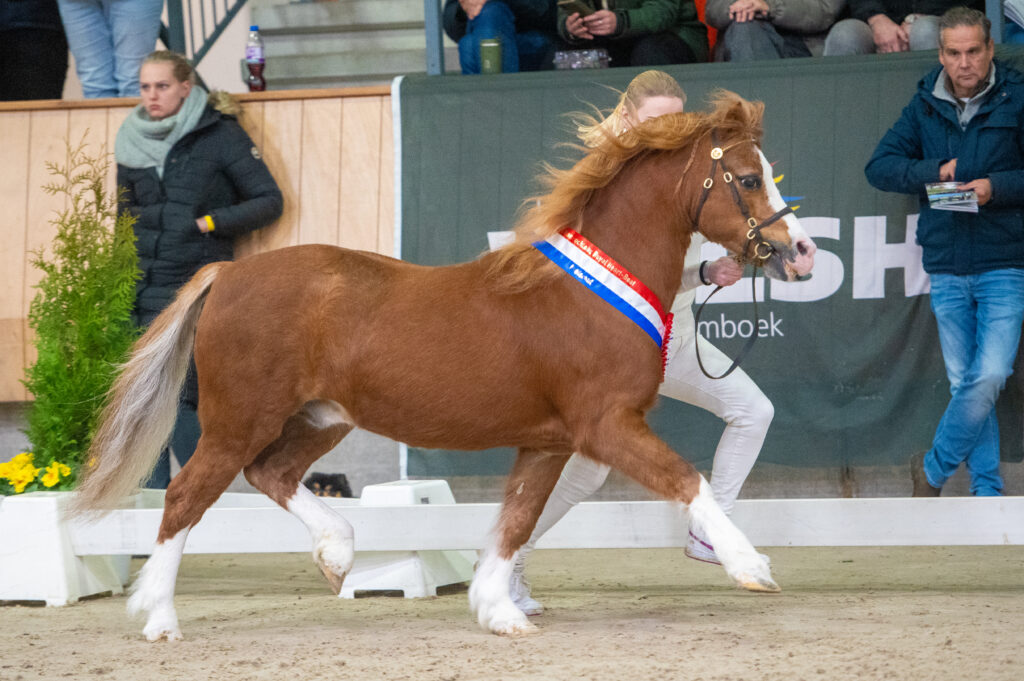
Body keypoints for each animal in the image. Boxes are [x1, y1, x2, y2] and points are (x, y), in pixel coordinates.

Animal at [72, 91, 816, 641]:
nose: (800, 252)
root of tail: (226, 272)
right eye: (749, 177)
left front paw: (498, 607)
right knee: (186, 496)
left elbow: (516, 520)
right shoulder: (606, 424)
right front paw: (751, 565)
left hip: (320, 418)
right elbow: (688, 480)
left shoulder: (549, 441)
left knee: (271, 474)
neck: (594, 288)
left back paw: (338, 552)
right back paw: (159, 618)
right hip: (237, 419)